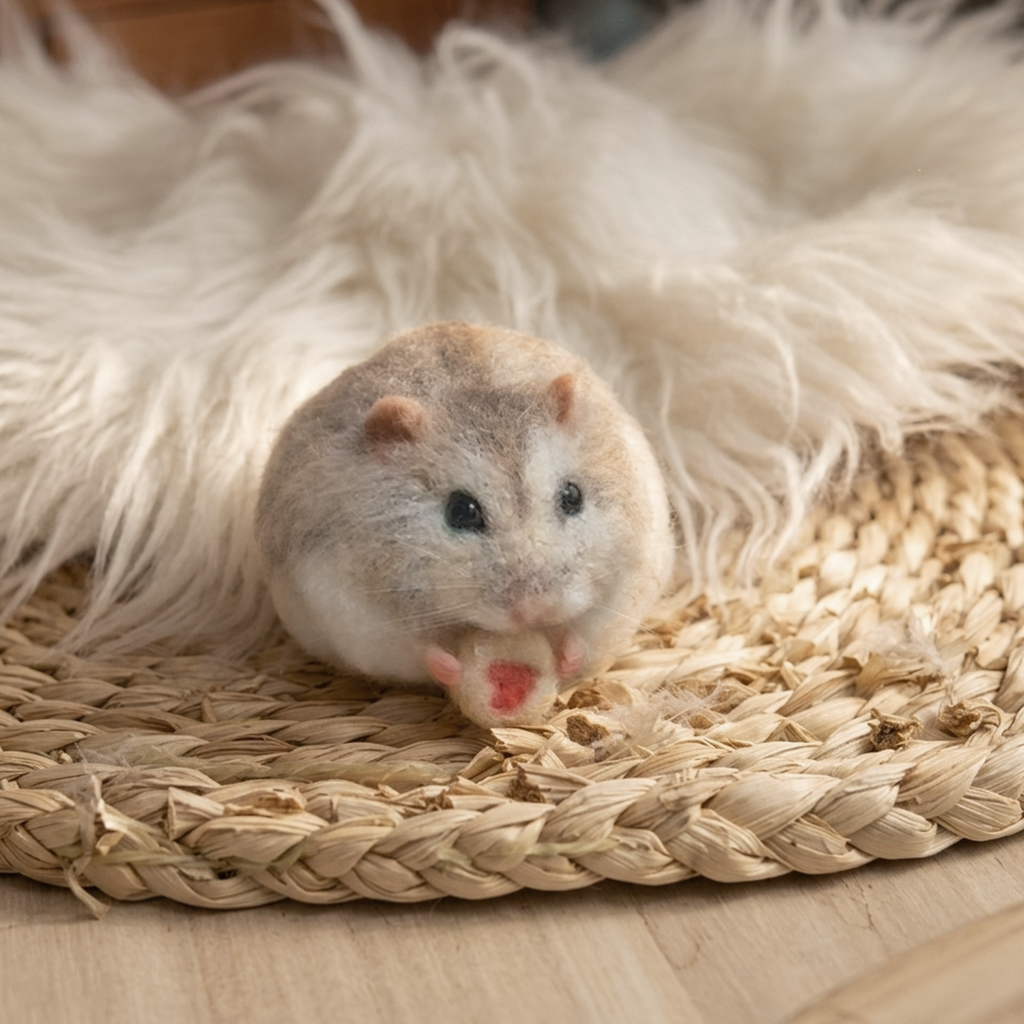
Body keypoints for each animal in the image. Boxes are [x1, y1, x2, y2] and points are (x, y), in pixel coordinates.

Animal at [255, 322, 675, 723]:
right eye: (460, 512)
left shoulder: (625, 588)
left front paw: (566, 655)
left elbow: (585, 636)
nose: (537, 610)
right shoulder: (351, 612)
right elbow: (421, 652)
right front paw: (453, 668)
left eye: (572, 496)